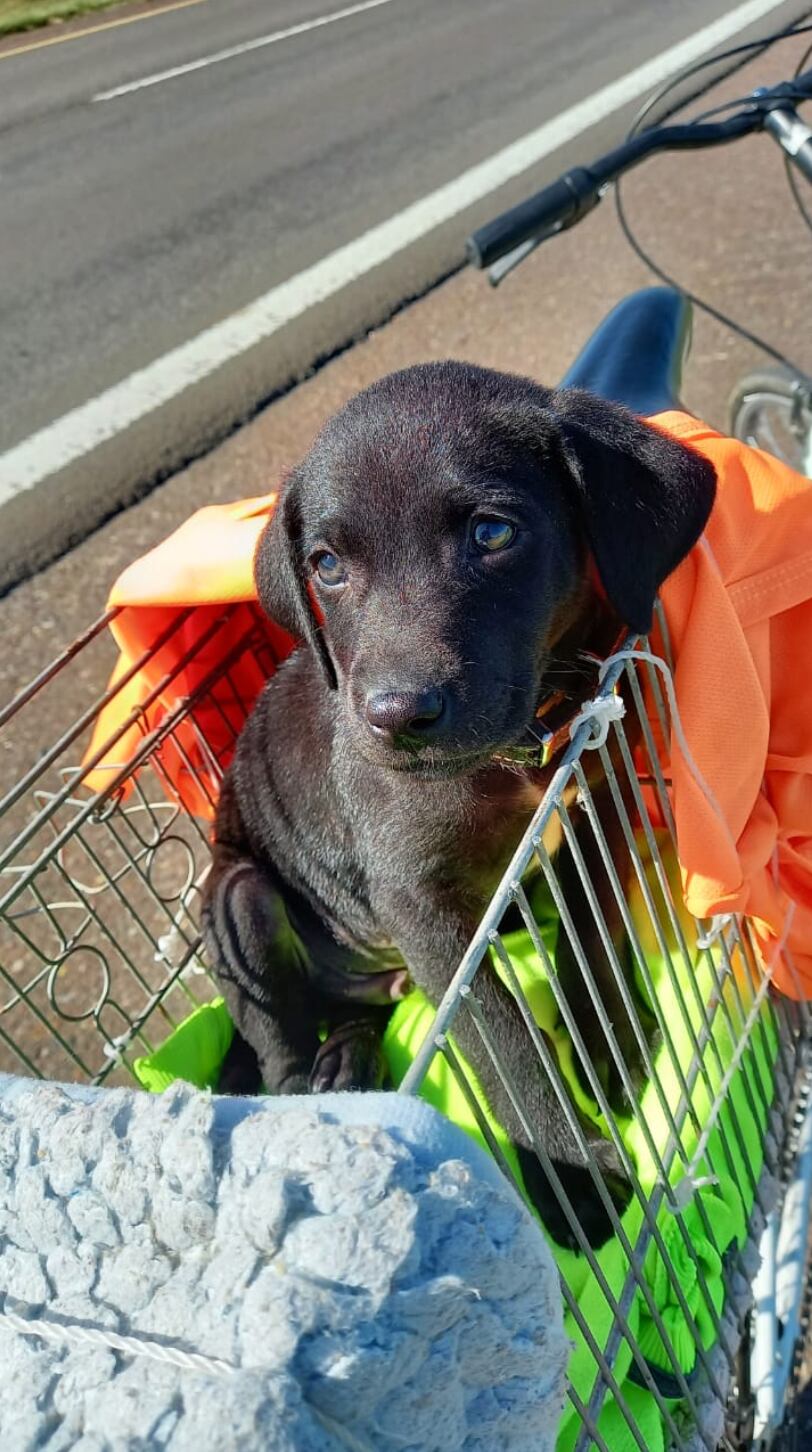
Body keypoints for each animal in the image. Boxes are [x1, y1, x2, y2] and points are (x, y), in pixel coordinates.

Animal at [203, 363, 717, 1248]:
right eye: (327, 565)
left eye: (492, 533)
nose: (396, 714)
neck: (518, 757)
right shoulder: (423, 911)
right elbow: (502, 1044)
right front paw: (573, 1181)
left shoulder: (598, 810)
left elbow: (590, 938)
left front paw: (611, 1044)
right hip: (243, 901)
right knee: (279, 1059)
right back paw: (319, 1083)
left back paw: (352, 1056)